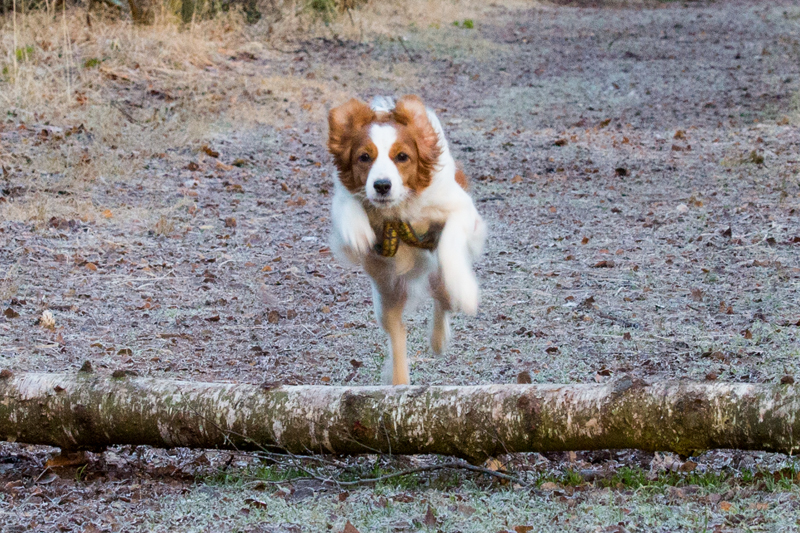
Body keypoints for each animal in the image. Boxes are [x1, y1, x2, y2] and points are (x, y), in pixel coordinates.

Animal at [326, 95, 488, 384]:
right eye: (364, 157)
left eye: (402, 157)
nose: (381, 185)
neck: (398, 210)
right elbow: (348, 205)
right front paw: (357, 227)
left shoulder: (462, 210)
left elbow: (448, 241)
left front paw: (466, 290)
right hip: (386, 298)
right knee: (397, 332)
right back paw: (400, 380)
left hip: (435, 283)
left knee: (442, 300)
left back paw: (439, 339)